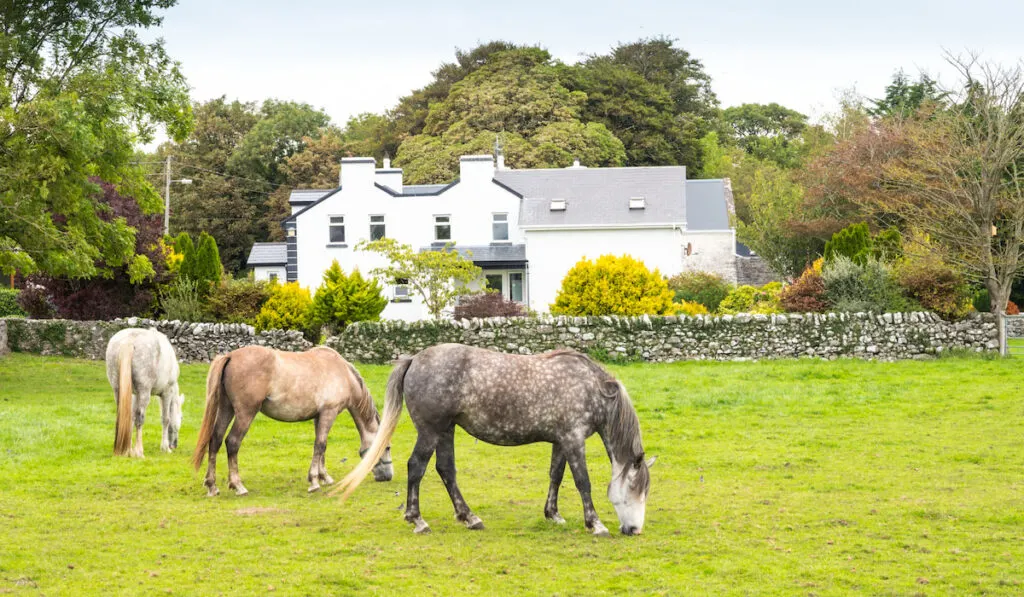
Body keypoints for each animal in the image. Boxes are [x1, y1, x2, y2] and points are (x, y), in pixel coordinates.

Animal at [190, 344, 393, 497]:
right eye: (387, 447)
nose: (388, 476)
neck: (342, 373)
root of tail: (230, 356)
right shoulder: (329, 413)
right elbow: (320, 445)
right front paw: (314, 481)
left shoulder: (319, 416)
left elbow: (322, 447)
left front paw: (324, 477)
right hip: (245, 413)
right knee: (232, 443)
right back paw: (238, 485)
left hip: (227, 409)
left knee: (215, 440)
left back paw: (212, 486)